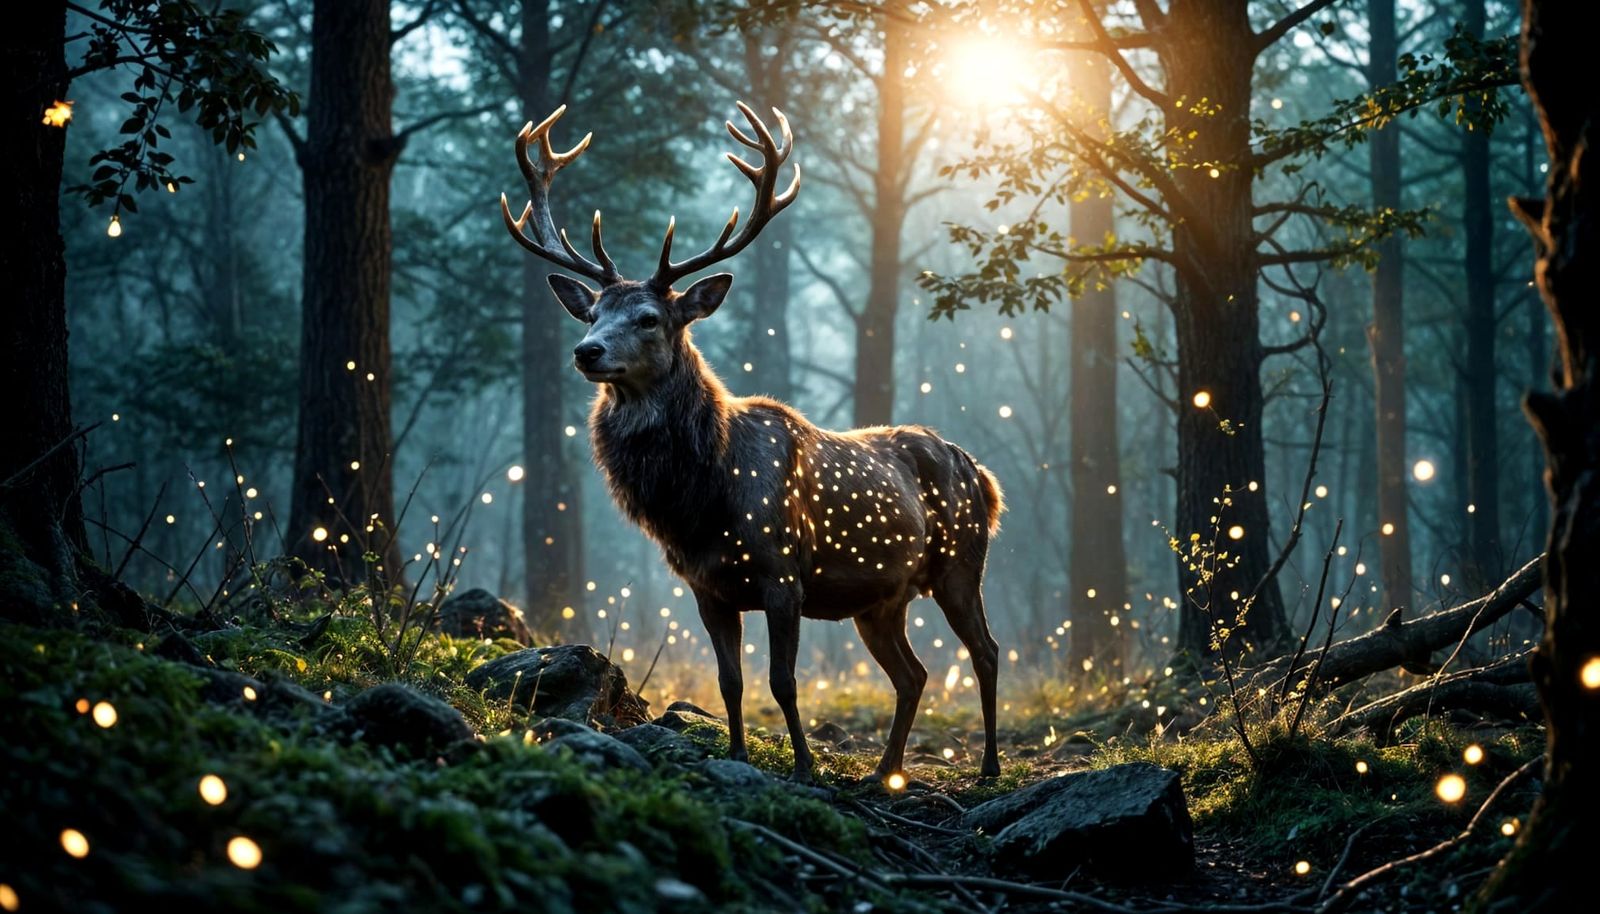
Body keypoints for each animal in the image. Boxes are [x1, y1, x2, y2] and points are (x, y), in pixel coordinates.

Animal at [500, 102, 1004, 784]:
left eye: (649, 319)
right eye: (591, 313)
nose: (587, 352)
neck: (703, 501)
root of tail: (983, 475)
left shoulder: (782, 572)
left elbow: (783, 681)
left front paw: (804, 768)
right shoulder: (707, 587)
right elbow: (730, 682)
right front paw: (739, 757)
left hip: (961, 562)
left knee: (986, 651)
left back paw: (987, 768)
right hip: (880, 599)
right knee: (914, 673)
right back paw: (883, 772)